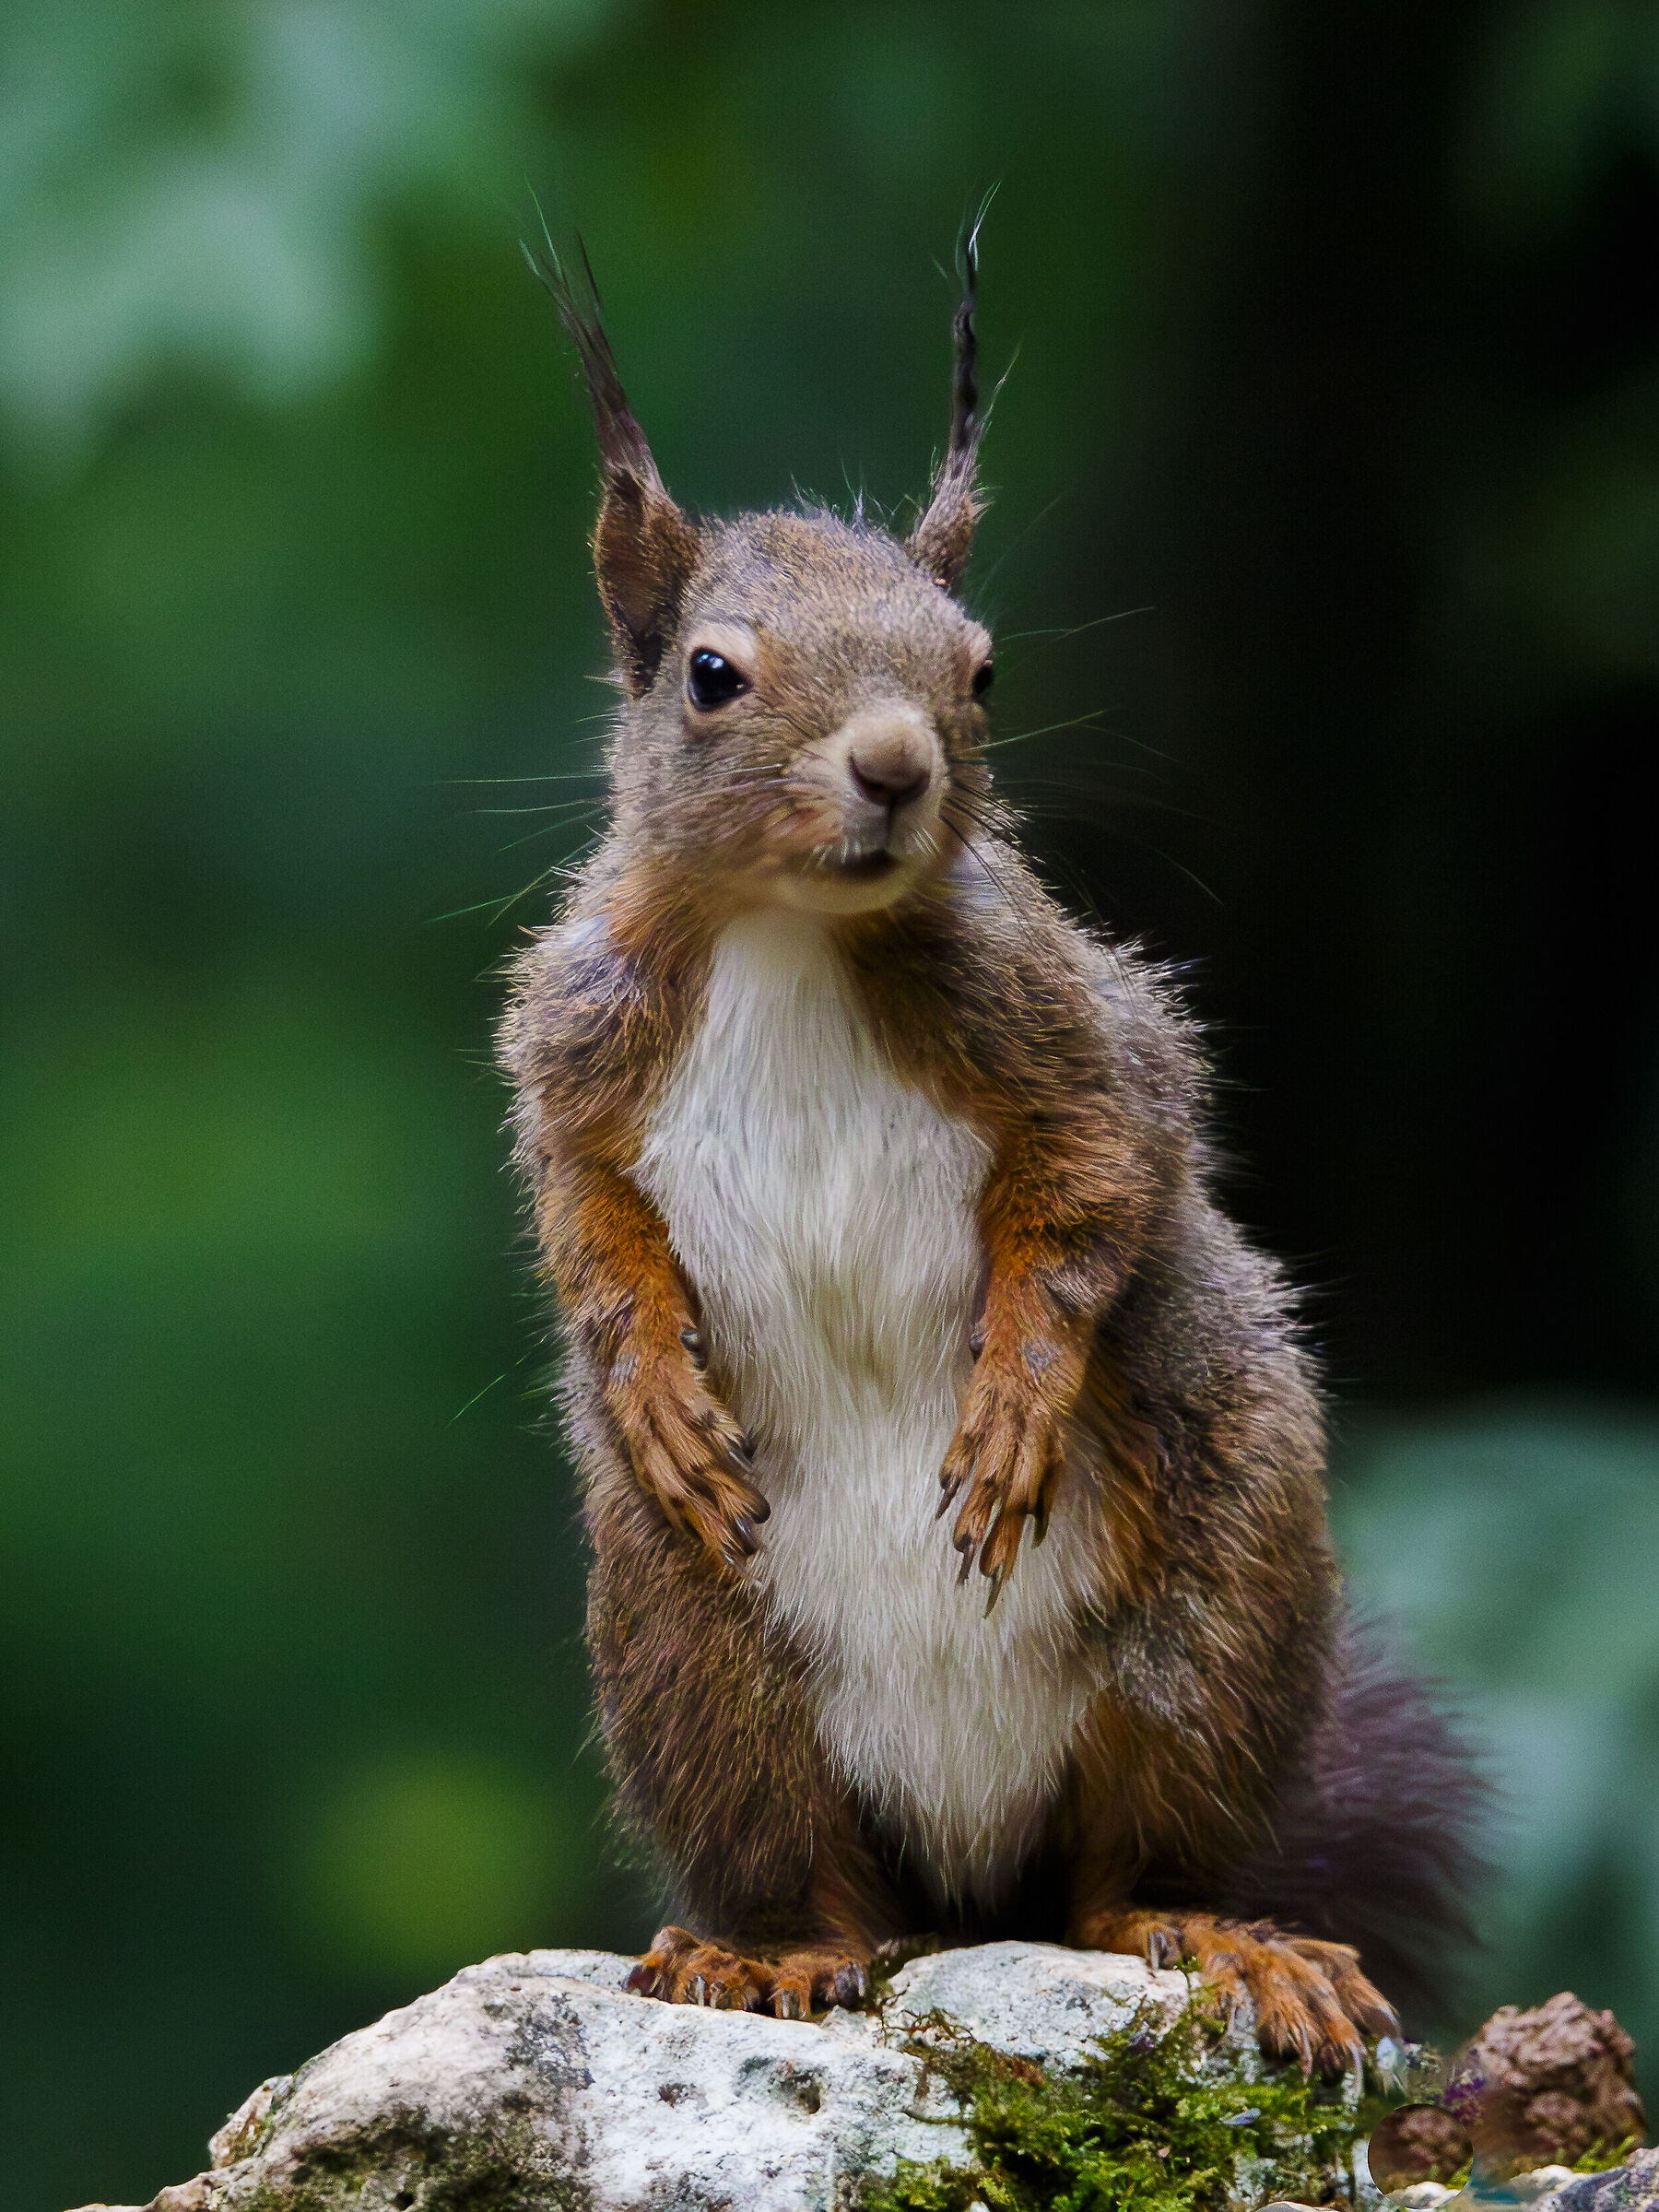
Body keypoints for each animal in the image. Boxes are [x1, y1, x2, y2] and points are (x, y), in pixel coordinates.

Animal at [499, 229, 1483, 2073]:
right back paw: (765, 1950)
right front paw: (647, 1377)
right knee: (813, 1872)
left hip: (1210, 1616)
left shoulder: (1078, 1040)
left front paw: (1017, 1397)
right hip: (697, 1663)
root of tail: (965, 1883)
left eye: (981, 670)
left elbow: (1101, 1188)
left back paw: (1219, 1937)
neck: (792, 937)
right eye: (709, 673)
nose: (896, 764)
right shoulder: (574, 1054)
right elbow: (584, 1223)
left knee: (1119, 1873)